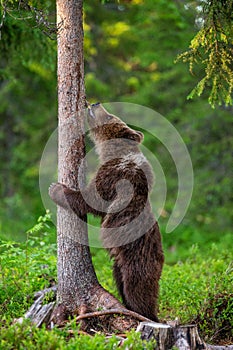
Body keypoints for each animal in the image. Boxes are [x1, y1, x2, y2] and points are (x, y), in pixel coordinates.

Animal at [49, 102, 164, 322]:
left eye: (110, 116)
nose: (95, 103)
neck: (113, 151)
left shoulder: (116, 176)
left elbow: (91, 199)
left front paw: (56, 188)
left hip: (137, 260)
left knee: (137, 288)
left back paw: (144, 314)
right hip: (119, 265)